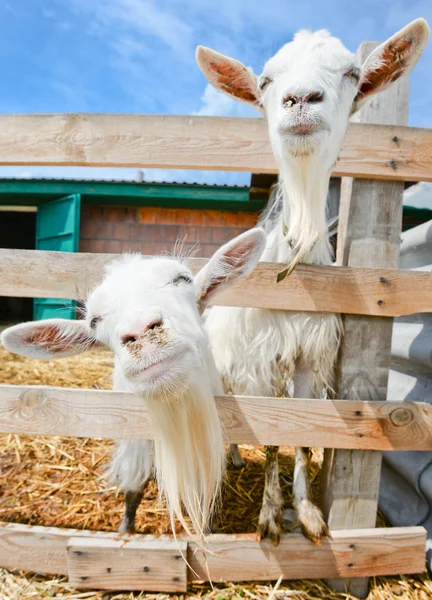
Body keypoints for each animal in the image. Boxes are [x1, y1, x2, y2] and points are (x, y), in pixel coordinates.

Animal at [0, 230, 266, 540]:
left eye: (182, 279)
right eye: (94, 321)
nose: (141, 331)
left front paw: (207, 529)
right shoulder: (133, 438)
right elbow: (133, 491)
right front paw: (126, 530)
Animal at [197, 17, 430, 544]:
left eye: (351, 74)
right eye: (265, 80)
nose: (301, 98)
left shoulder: (307, 356)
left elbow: (301, 435)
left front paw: (305, 510)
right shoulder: (261, 360)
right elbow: (272, 437)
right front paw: (268, 515)